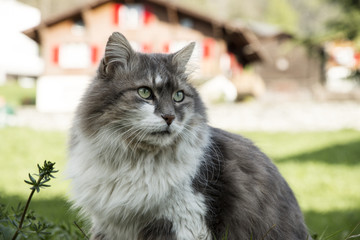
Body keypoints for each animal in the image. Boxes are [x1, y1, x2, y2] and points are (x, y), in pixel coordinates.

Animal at [68, 32, 312, 240]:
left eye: (179, 96)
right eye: (145, 92)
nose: (169, 117)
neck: (136, 161)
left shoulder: (185, 219)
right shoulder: (108, 224)